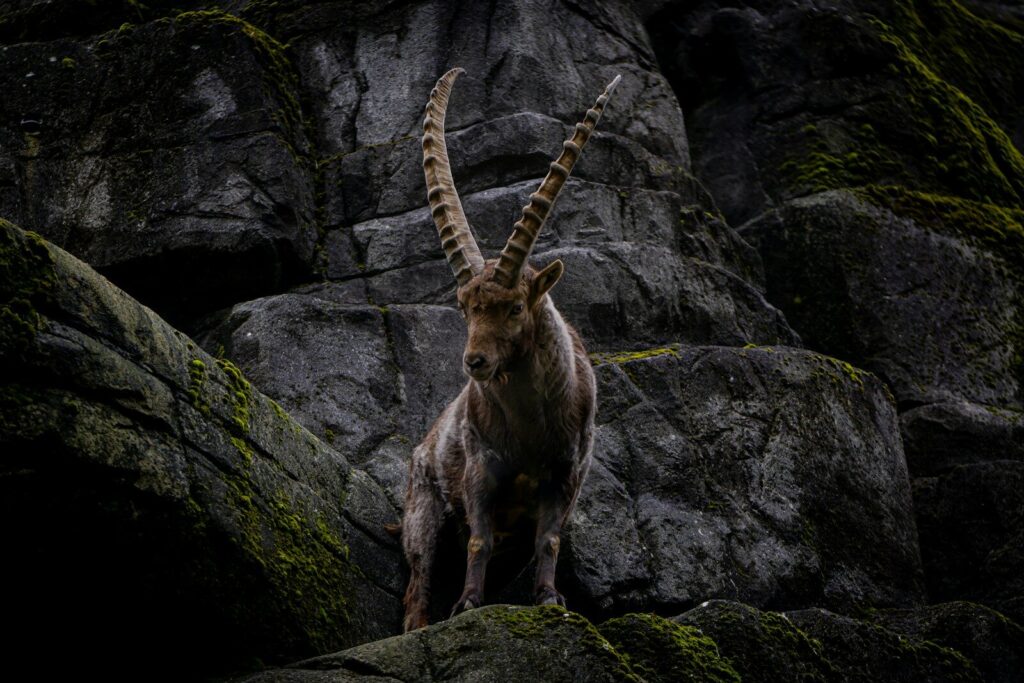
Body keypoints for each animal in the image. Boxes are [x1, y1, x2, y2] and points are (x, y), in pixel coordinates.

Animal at [399, 68, 619, 632]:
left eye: (516, 307)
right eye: (464, 307)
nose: (474, 362)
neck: (530, 428)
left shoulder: (567, 475)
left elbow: (550, 539)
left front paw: (549, 599)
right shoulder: (481, 470)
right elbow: (478, 538)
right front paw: (467, 604)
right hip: (422, 512)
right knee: (417, 585)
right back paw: (425, 621)